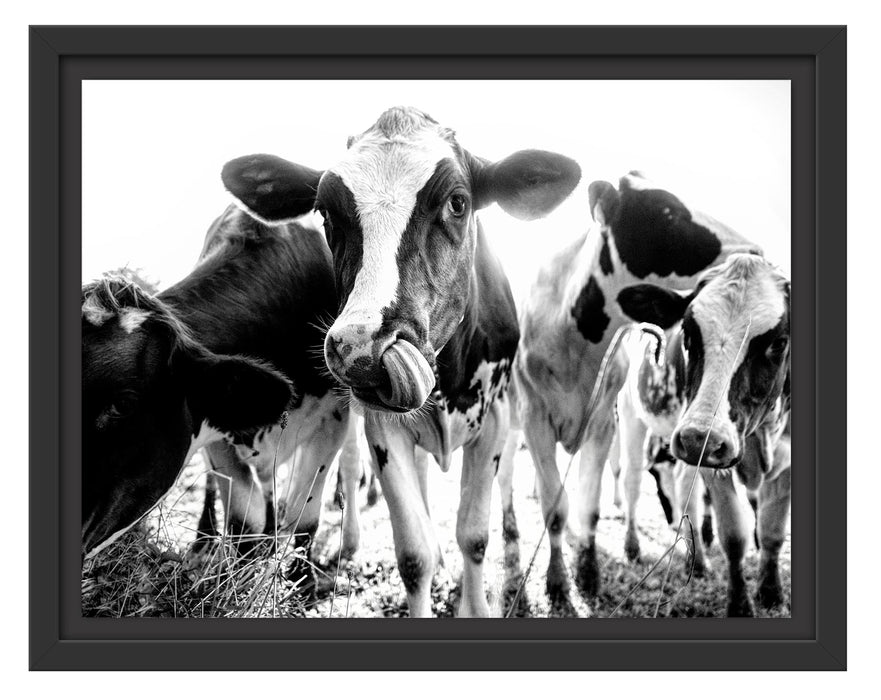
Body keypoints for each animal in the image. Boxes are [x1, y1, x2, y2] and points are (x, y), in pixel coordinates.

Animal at [82, 204, 355, 592]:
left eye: (123, 404)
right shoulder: (216, 431)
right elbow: (244, 520)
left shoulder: (332, 420)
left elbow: (305, 517)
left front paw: (301, 584)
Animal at [221, 106, 582, 617]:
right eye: (326, 213)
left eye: (457, 203)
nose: (361, 350)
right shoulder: (382, 429)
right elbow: (414, 553)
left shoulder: (494, 419)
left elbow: (474, 537)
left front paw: (474, 604)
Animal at [513, 172, 760, 603]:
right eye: (667, 211)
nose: (753, 251)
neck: (578, 339)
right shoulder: (535, 420)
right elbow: (554, 508)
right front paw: (558, 580)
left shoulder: (601, 422)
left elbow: (588, 505)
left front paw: (588, 572)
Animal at [621, 252, 791, 616]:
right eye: (687, 333)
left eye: (779, 343)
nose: (699, 438)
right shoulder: (715, 462)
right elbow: (734, 536)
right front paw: (739, 604)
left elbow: (772, 531)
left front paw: (771, 592)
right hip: (632, 417)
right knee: (631, 482)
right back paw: (632, 547)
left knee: (684, 484)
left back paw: (696, 562)